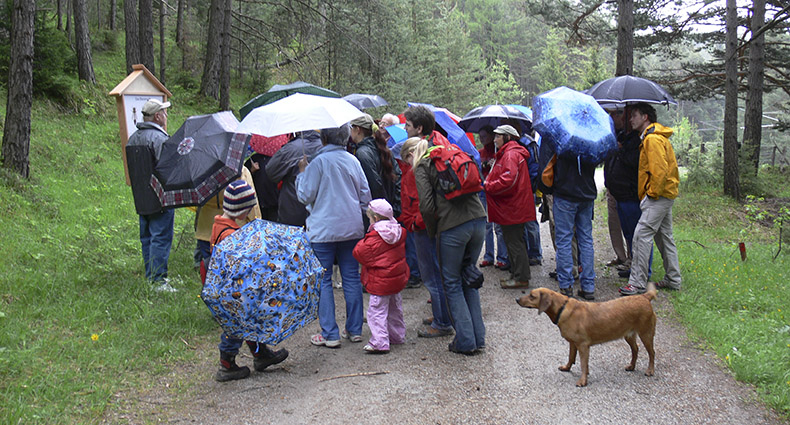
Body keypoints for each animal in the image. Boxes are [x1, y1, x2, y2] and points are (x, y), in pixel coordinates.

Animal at [516, 284, 660, 386]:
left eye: (532, 296)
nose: (517, 299)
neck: (562, 308)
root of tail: (644, 297)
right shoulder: (573, 343)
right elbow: (571, 358)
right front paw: (567, 368)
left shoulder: (583, 345)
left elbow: (583, 364)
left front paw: (582, 381)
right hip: (629, 335)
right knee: (635, 349)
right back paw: (631, 366)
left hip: (646, 333)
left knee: (652, 352)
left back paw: (650, 370)